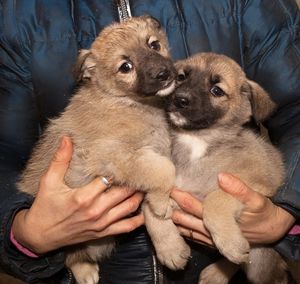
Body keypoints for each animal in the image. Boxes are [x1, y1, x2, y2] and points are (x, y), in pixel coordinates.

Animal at [17, 16, 190, 284]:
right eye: (125, 67)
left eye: (154, 45)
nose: (163, 74)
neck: (128, 103)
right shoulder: (115, 158)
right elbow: (164, 170)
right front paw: (163, 203)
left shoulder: (146, 164)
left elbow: (151, 210)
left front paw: (170, 247)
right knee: (71, 255)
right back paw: (85, 271)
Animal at [165, 52, 288, 284]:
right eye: (181, 77)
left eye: (217, 90)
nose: (179, 99)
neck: (196, 141)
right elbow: (150, 212)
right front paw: (169, 249)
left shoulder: (254, 184)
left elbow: (215, 200)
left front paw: (231, 243)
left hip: (260, 264)